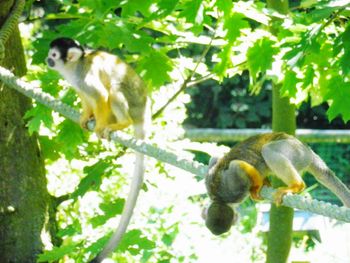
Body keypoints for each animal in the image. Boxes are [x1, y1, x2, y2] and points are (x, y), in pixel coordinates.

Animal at [46, 37, 148, 262]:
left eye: (54, 55)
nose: (47, 59)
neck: (75, 66)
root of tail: (145, 116)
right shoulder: (77, 82)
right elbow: (86, 97)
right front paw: (86, 116)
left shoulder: (83, 76)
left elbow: (101, 95)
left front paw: (100, 126)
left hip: (135, 105)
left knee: (113, 90)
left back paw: (121, 123)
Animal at [204, 133, 350, 236]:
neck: (220, 199)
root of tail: (307, 150)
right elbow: (215, 158)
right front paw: (261, 182)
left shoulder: (233, 187)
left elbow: (237, 165)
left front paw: (256, 187)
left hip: (295, 152)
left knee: (267, 150)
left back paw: (296, 185)